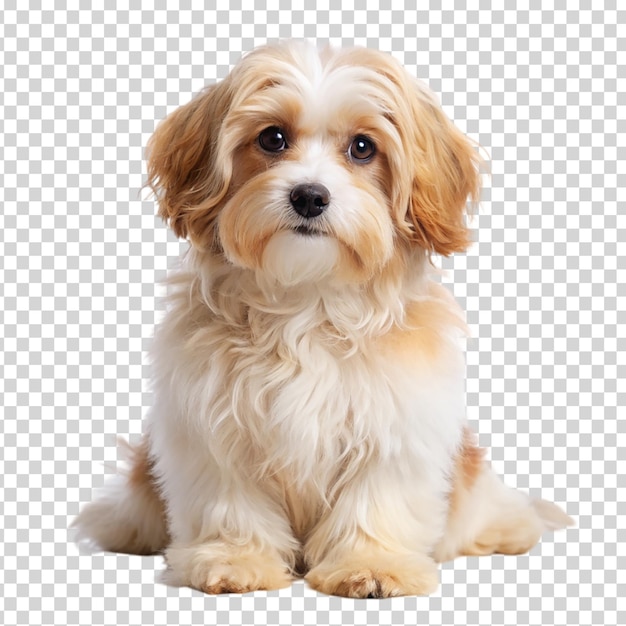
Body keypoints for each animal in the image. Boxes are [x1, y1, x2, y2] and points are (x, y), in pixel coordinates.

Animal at [73, 40, 572, 596]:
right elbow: (231, 503)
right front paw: (235, 559)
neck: (307, 302)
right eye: (272, 138)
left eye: (363, 148)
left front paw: (373, 564)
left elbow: (376, 499)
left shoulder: (395, 425)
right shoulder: (212, 429)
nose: (309, 195)